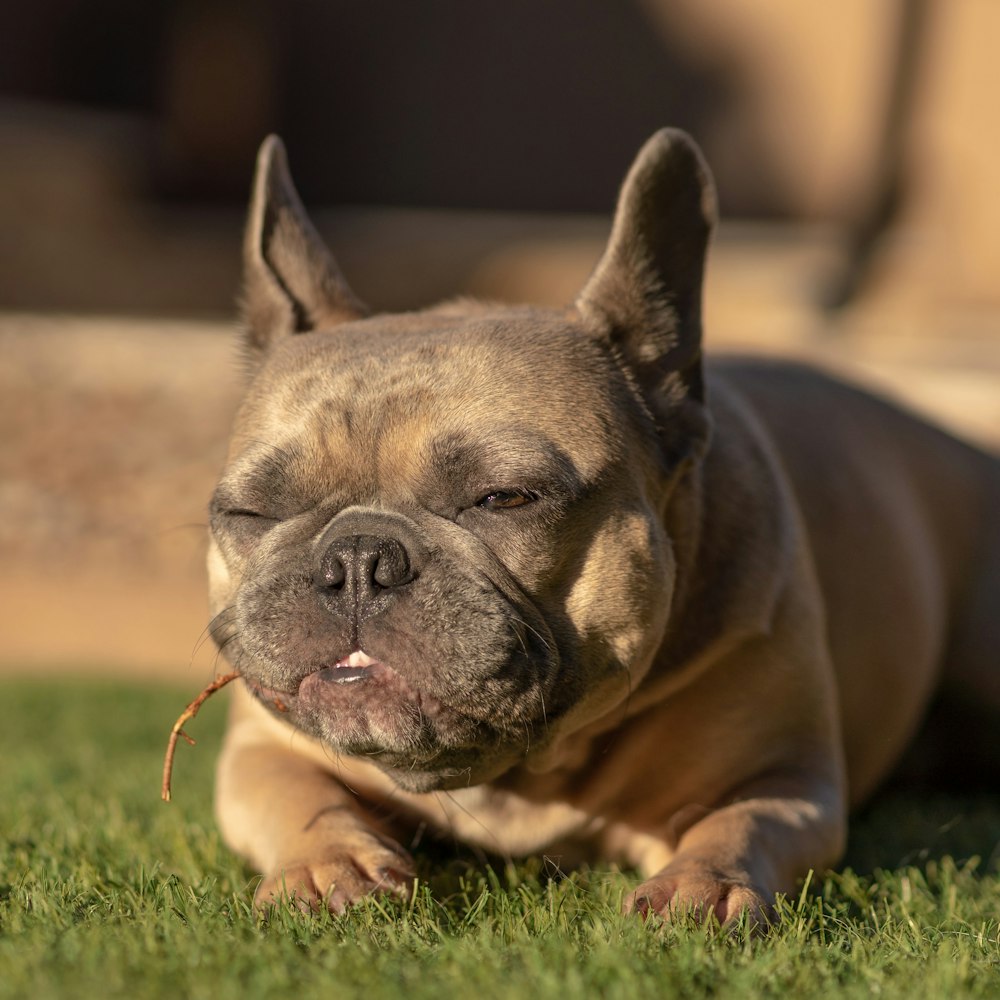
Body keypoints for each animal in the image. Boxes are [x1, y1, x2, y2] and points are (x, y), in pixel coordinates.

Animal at [205, 129, 1000, 924]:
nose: (358, 560)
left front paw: (701, 887)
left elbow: (737, 822)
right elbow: (301, 798)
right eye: (249, 513)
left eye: (503, 499)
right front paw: (328, 865)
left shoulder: (784, 777)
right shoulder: (260, 754)